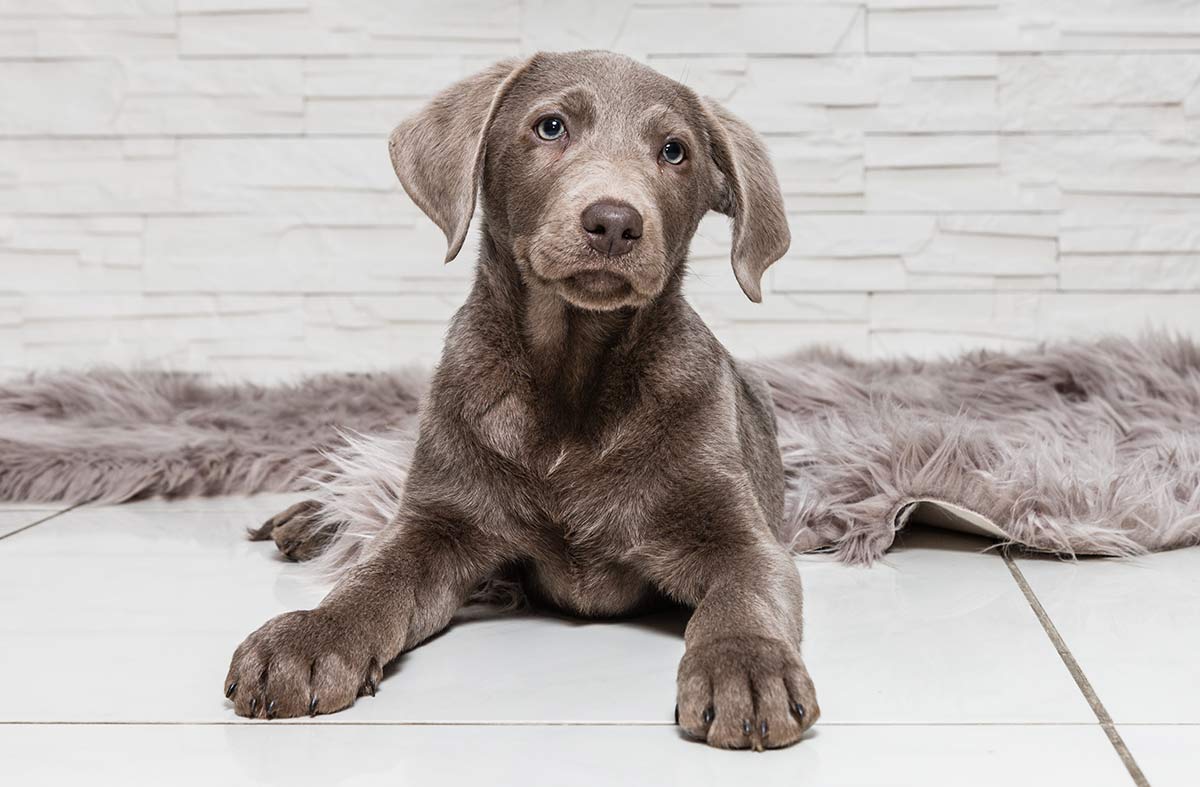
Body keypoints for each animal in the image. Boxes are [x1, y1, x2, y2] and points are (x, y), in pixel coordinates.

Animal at [225, 49, 820, 748]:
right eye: (550, 127)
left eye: (674, 152)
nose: (614, 222)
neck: (572, 376)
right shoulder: (438, 519)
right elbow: (374, 578)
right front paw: (311, 636)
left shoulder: (740, 535)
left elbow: (744, 596)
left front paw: (746, 665)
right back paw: (306, 518)